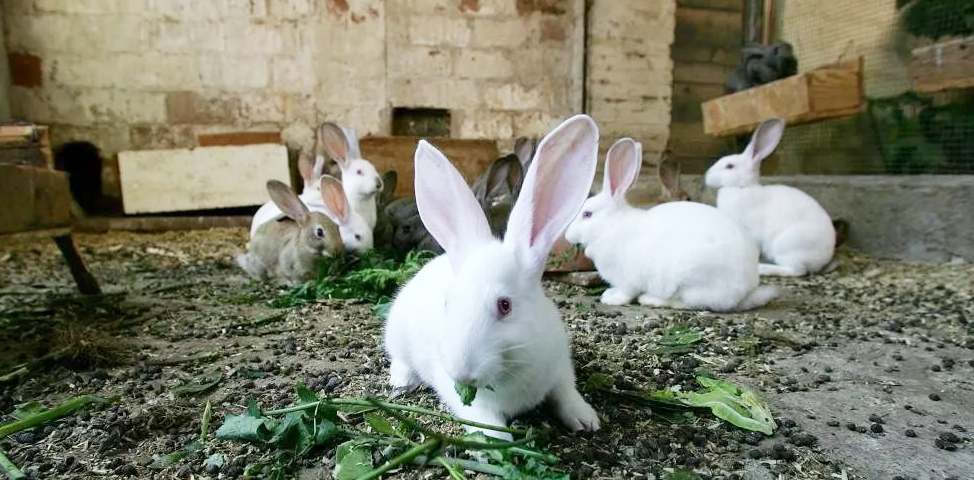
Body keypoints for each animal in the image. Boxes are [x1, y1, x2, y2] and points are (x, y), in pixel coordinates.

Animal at [383, 115, 602, 440]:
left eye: (505, 305)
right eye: (448, 304)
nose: (462, 373)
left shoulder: (561, 369)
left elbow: (567, 394)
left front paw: (587, 420)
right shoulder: (471, 401)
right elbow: (487, 422)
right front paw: (500, 442)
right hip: (397, 335)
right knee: (399, 359)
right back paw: (403, 381)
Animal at [564, 138, 778, 311]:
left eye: (587, 214)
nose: (567, 235)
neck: (610, 226)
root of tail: (747, 289)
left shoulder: (628, 279)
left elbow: (626, 292)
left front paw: (612, 299)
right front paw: (608, 294)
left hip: (690, 278)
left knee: (691, 303)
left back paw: (651, 300)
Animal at [705, 118, 836, 276]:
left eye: (729, 166)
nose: (706, 176)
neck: (742, 187)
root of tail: (823, 259)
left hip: (787, 245)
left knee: (796, 271)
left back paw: (763, 268)